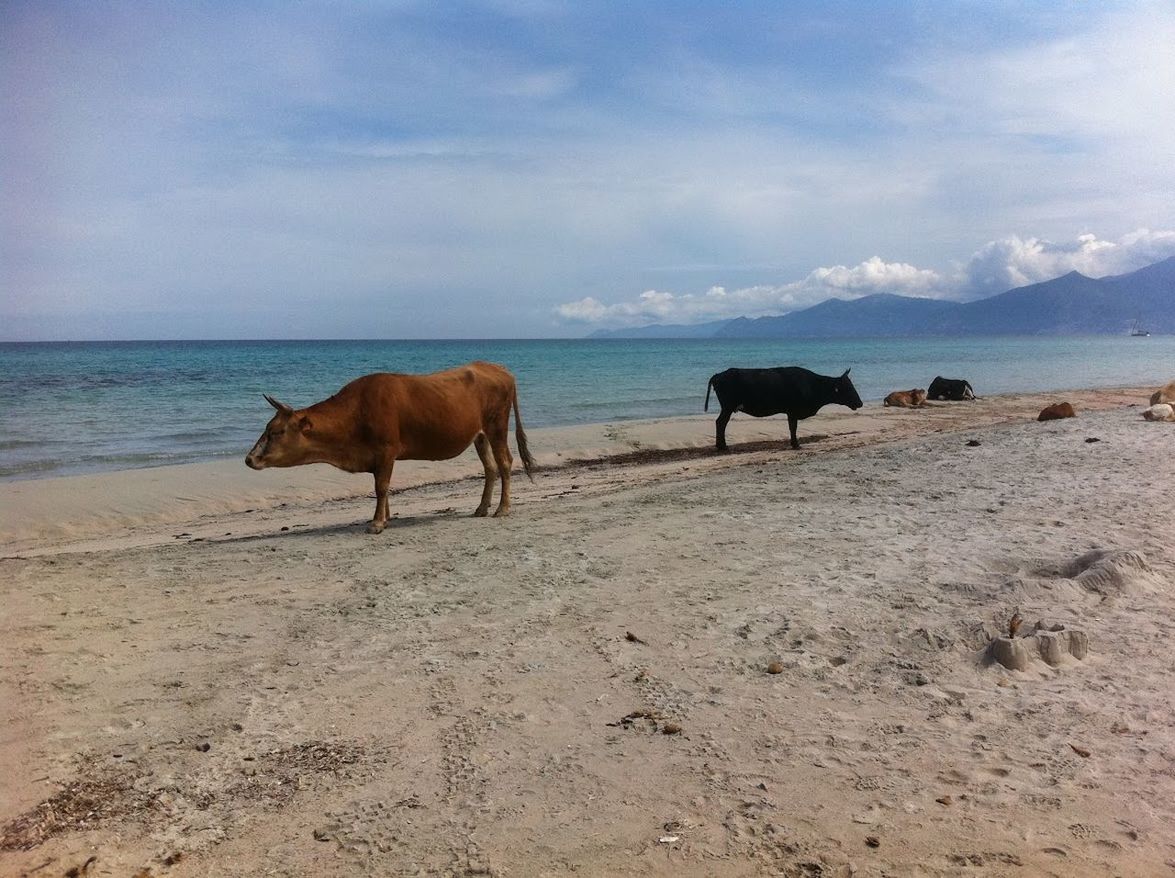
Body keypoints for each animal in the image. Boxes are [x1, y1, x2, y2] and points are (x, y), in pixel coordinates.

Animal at [245, 359, 535, 531]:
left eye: (276, 431)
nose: (249, 459)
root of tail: (498, 368)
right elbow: (381, 487)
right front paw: (385, 516)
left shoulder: (386, 450)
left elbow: (381, 487)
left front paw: (376, 523)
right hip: (480, 435)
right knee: (490, 468)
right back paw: (482, 508)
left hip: (497, 426)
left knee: (505, 463)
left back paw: (502, 508)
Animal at [700, 366, 869, 453]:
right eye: (848, 388)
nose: (860, 403)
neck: (812, 385)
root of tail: (719, 374)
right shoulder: (792, 411)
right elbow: (793, 427)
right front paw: (796, 444)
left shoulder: (790, 411)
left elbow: (792, 427)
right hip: (727, 407)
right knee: (721, 423)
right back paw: (723, 447)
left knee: (720, 423)